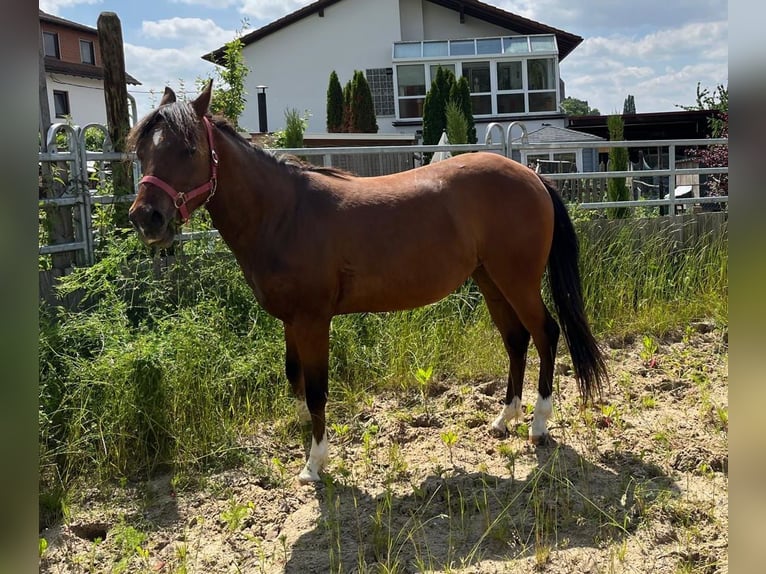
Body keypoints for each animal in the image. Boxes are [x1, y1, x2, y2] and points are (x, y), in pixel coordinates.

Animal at [126, 81, 608, 486]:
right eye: (140, 152)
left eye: (189, 148)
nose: (147, 218)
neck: (284, 214)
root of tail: (535, 177)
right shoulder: (290, 321)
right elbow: (294, 376)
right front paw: (301, 433)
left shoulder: (313, 321)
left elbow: (317, 390)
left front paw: (314, 465)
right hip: (490, 280)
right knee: (516, 340)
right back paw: (504, 419)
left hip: (517, 279)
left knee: (546, 334)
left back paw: (538, 425)